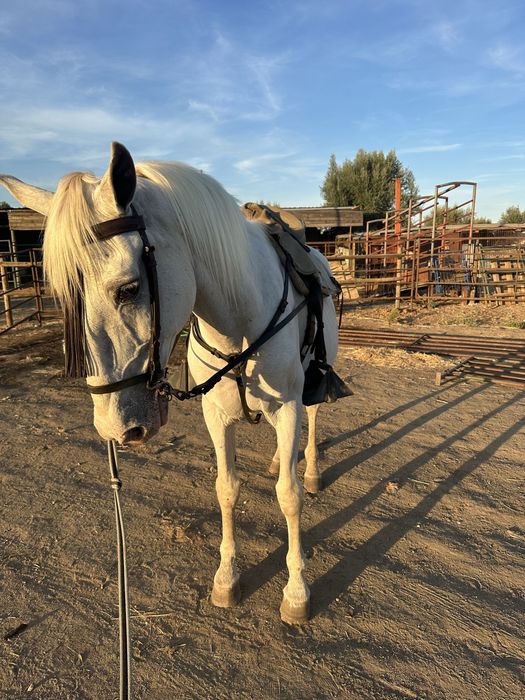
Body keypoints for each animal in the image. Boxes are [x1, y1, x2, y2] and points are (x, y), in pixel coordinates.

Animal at [0, 142, 343, 624]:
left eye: (128, 289)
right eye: (64, 297)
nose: (115, 429)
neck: (238, 319)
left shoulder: (287, 407)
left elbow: (289, 496)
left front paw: (296, 592)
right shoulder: (216, 415)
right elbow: (226, 490)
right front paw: (227, 578)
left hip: (311, 386)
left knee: (311, 426)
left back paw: (308, 468)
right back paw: (280, 458)